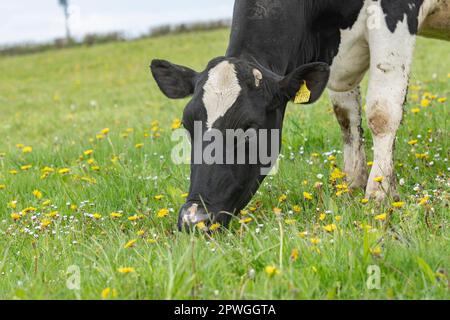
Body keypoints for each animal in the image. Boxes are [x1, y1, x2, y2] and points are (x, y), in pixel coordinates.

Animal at [152, 0, 450, 230]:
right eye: (187, 125)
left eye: (250, 128)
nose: (193, 219)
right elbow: (346, 117)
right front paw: (353, 184)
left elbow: (381, 113)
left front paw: (380, 194)